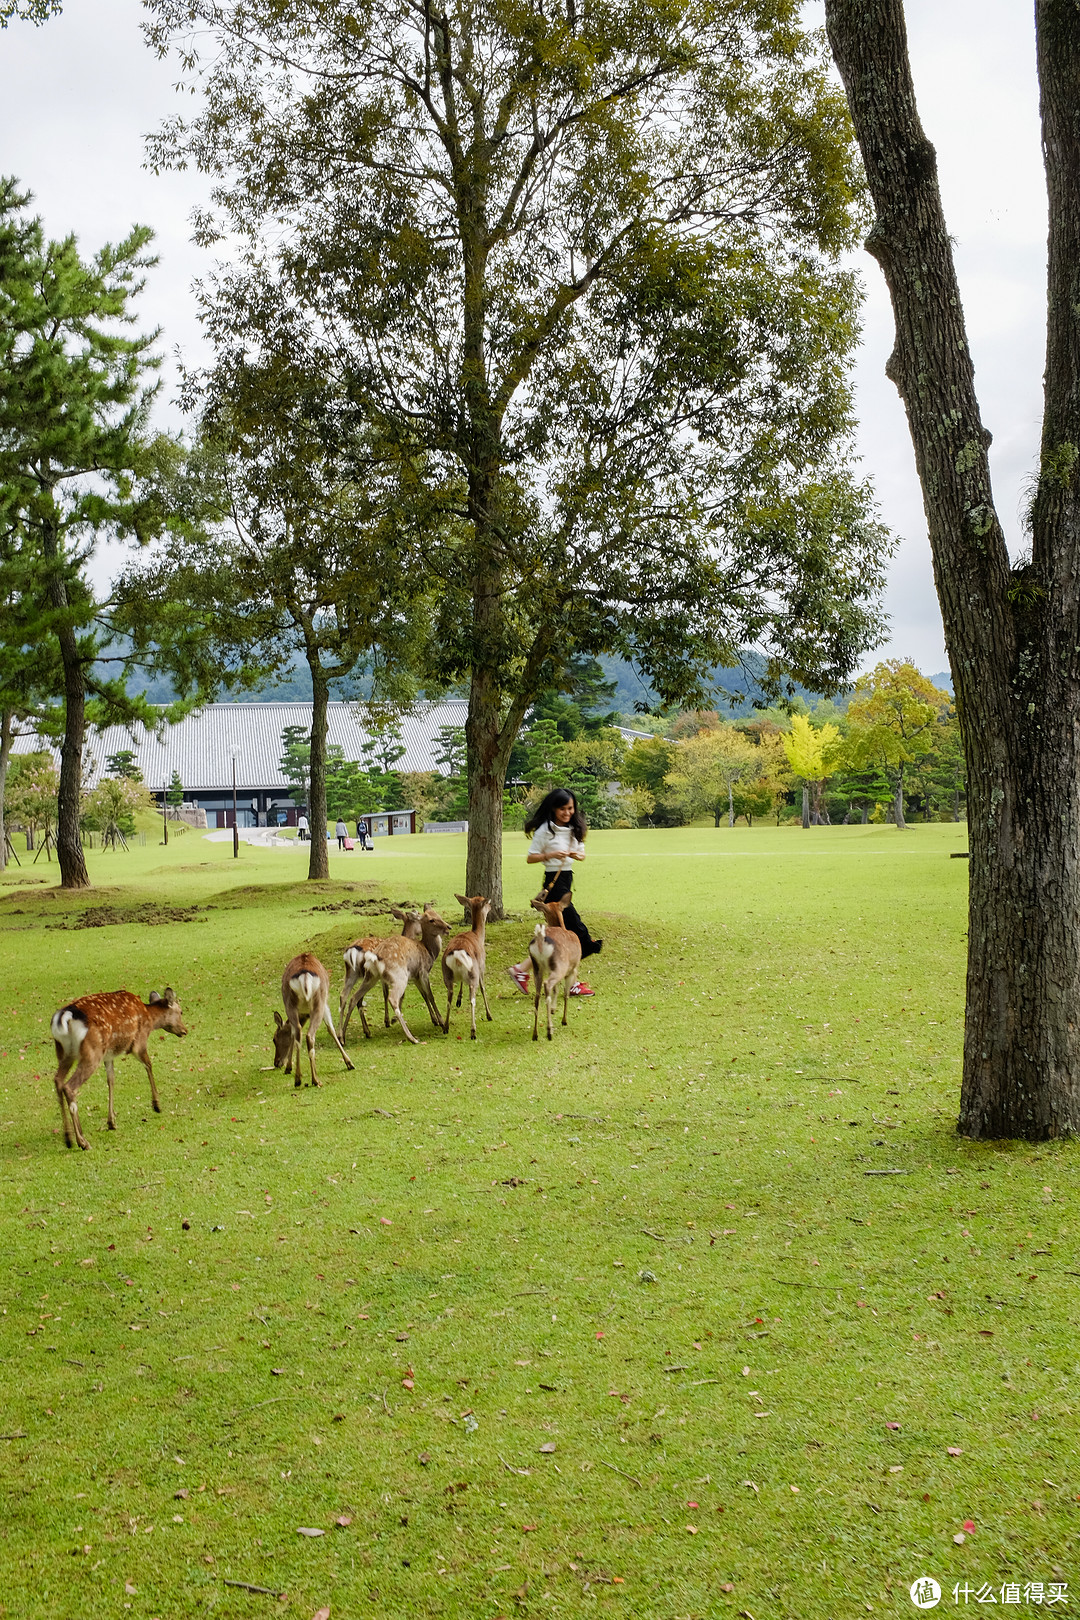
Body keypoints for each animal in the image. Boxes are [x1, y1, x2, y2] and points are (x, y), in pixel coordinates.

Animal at [50, 984, 187, 1153]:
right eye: (181, 1011)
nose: (184, 1030)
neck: (149, 1016)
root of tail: (64, 1016)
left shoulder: (108, 1055)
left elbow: (111, 1080)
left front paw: (112, 1122)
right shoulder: (139, 1042)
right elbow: (149, 1065)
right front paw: (157, 1105)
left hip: (64, 1053)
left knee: (58, 1081)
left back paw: (68, 1138)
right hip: (91, 1053)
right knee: (69, 1087)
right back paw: (82, 1142)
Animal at [270, 946, 354, 1088]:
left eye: (274, 1039)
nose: (276, 1063)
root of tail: (304, 977)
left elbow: (293, 1033)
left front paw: (288, 1067)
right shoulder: (324, 1004)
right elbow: (330, 1029)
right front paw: (349, 1063)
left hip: (290, 1004)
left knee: (298, 1032)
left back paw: (298, 1078)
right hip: (318, 1003)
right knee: (309, 1036)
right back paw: (315, 1080)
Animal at [340, 907, 424, 1043]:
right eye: (419, 916)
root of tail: (352, 950)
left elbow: (385, 994)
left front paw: (388, 1020)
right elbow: (391, 994)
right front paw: (390, 1020)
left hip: (351, 973)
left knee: (344, 997)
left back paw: (341, 1036)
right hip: (367, 975)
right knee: (358, 999)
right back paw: (367, 1032)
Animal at [440, 900, 495, 1036]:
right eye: (486, 903)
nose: (491, 906)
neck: (478, 936)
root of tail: (457, 955)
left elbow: (460, 983)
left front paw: (459, 1000)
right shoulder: (481, 966)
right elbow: (483, 988)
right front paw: (489, 1015)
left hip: (446, 974)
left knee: (449, 998)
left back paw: (446, 1027)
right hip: (474, 972)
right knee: (472, 999)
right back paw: (473, 1030)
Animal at [524, 894, 579, 1043]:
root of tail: (540, 939)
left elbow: (556, 989)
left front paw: (554, 1009)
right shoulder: (572, 969)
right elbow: (565, 993)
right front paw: (564, 1020)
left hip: (537, 967)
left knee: (538, 995)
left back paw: (535, 1034)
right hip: (560, 966)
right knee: (547, 985)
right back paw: (549, 1031)